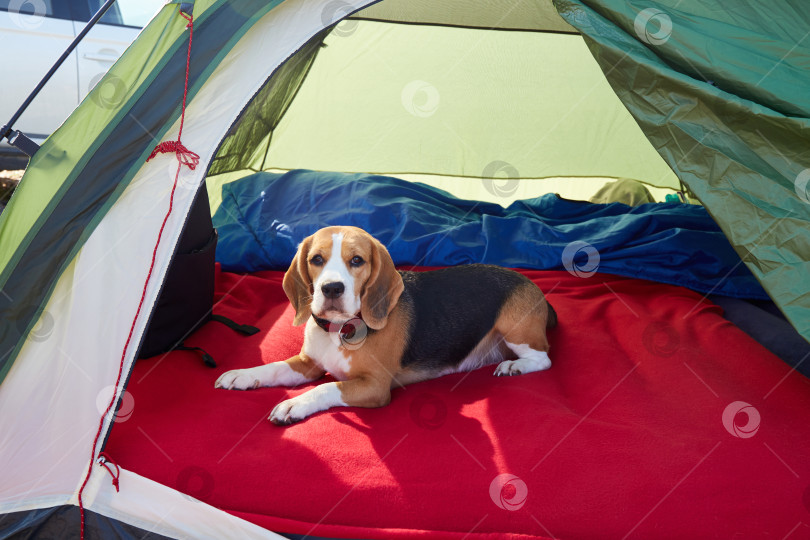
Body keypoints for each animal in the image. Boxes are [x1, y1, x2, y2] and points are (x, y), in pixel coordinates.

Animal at [215, 226, 556, 424]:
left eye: (356, 260)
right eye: (316, 259)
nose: (331, 289)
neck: (340, 330)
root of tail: (528, 281)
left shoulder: (375, 387)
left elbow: (326, 386)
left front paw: (295, 404)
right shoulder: (307, 363)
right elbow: (274, 368)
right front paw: (242, 375)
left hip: (515, 330)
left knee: (544, 358)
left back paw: (515, 367)